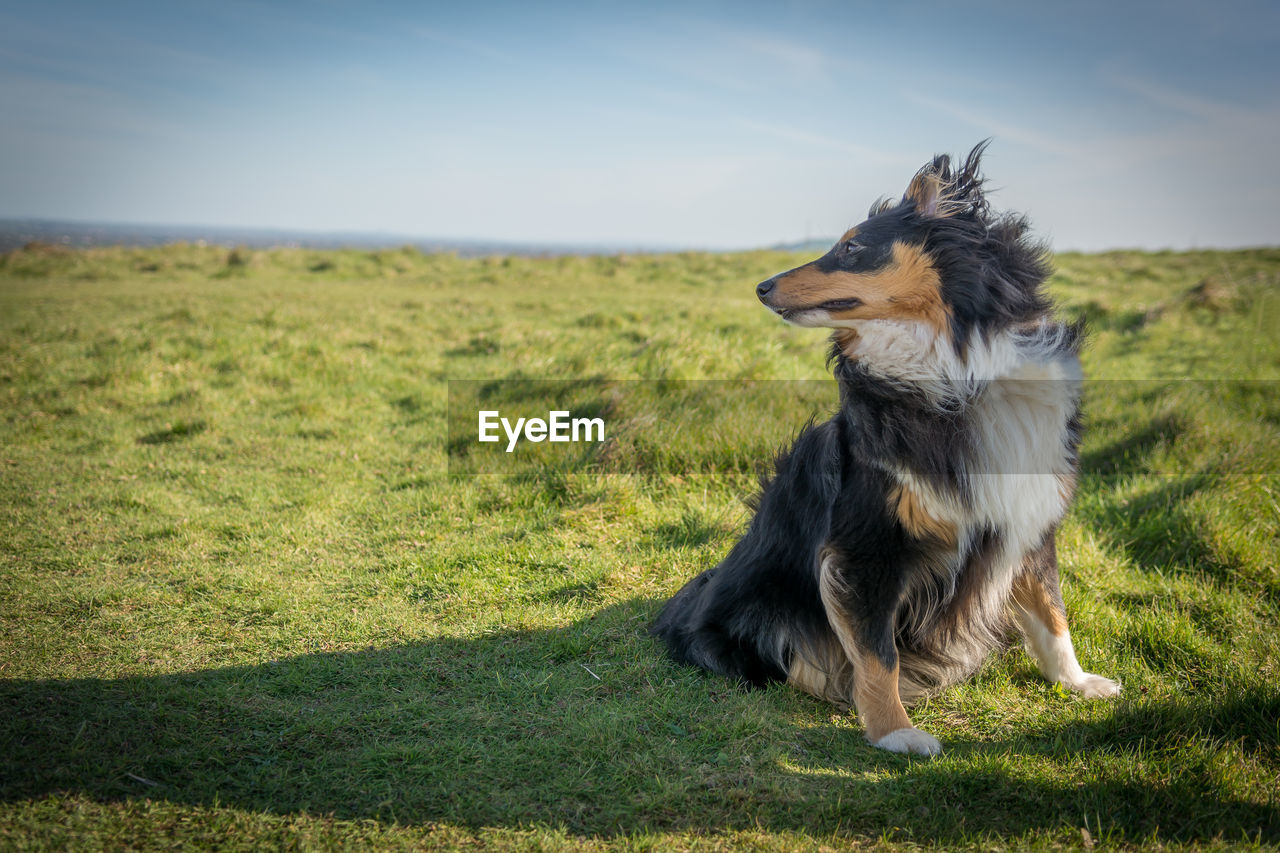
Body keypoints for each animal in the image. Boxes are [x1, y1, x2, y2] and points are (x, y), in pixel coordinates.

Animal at [655, 142, 1116, 753]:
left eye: (852, 247)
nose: (761, 287)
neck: (954, 375)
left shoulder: (1031, 523)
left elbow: (1052, 614)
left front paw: (1079, 682)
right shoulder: (866, 546)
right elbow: (878, 655)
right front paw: (895, 733)